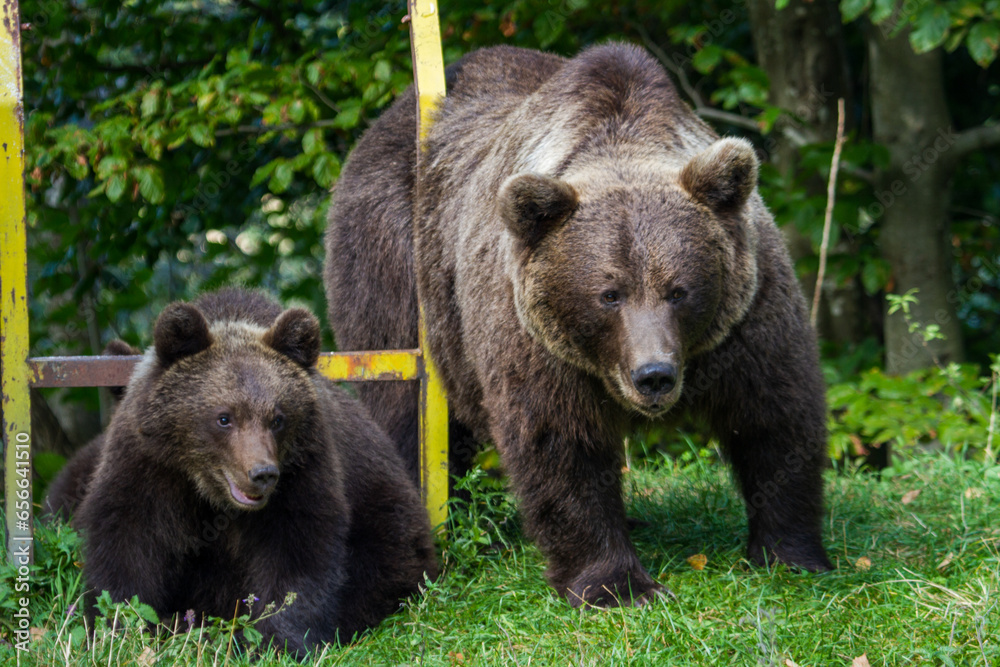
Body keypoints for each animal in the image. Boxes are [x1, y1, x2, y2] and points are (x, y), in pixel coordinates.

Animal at [69, 288, 436, 654]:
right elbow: (128, 544)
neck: (209, 491)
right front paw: (118, 629)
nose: (262, 473)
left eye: (278, 418)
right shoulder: (149, 467)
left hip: (387, 521)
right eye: (224, 417)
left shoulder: (303, 470)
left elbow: (297, 554)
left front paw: (279, 640)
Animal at [324, 42, 833, 608]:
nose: (654, 375)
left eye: (679, 290)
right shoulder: (532, 336)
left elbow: (776, 418)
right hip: (397, 267)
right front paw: (618, 584)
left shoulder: (746, 318)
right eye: (609, 294)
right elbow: (561, 444)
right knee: (403, 409)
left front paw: (792, 554)